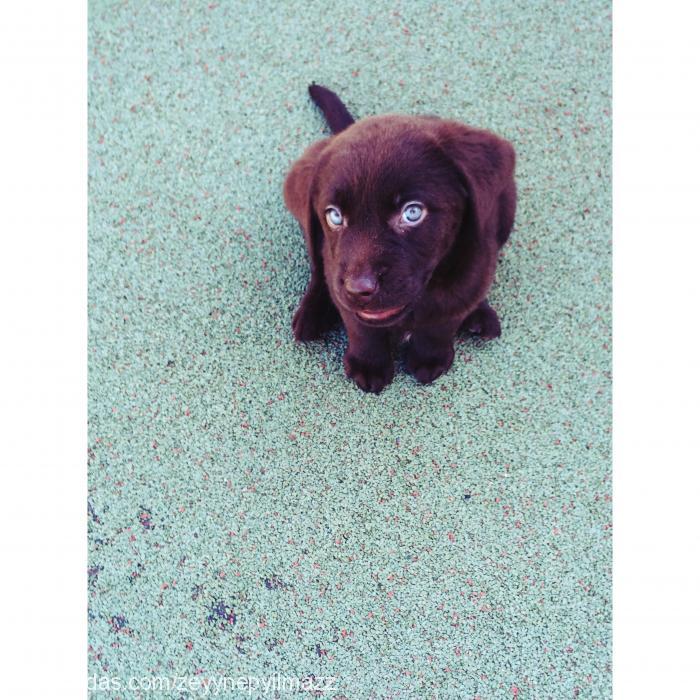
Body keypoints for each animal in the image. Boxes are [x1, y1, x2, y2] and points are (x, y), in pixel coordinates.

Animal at [282, 84, 516, 392]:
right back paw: (312, 315)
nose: (359, 288)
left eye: (412, 212)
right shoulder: (341, 281)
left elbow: (442, 322)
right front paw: (368, 365)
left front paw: (430, 360)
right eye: (334, 216)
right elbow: (361, 328)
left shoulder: (471, 270)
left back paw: (481, 314)